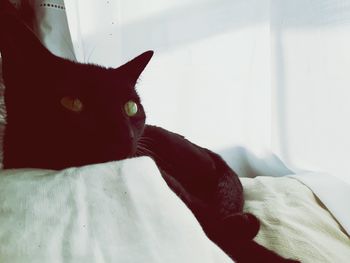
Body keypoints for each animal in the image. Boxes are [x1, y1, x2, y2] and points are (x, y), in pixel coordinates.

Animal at [0, 1, 300, 262]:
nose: (123, 134)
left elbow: (210, 223)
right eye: (73, 103)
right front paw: (241, 230)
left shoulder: (179, 190)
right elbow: (210, 231)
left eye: (130, 107)